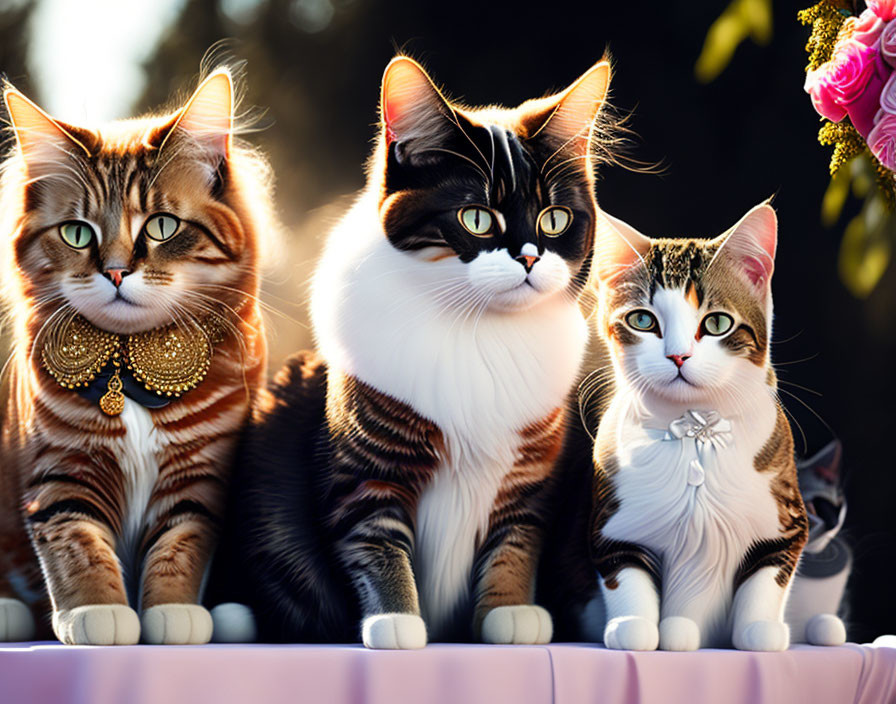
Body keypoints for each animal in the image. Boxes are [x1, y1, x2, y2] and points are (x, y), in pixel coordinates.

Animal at [0, 69, 272, 648]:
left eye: (162, 226)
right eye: (77, 232)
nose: (117, 271)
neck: (127, 366)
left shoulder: (201, 478)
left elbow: (179, 547)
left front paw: (173, 612)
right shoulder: (61, 474)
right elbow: (78, 545)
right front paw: (97, 612)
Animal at [212, 57, 608, 648]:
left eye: (555, 219)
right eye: (476, 218)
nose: (530, 258)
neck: (479, 332)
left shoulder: (530, 478)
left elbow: (515, 542)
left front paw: (510, 613)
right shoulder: (369, 471)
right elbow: (375, 542)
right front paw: (396, 620)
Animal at [580, 202, 812, 648]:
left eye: (718, 323)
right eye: (642, 320)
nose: (678, 356)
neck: (694, 429)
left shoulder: (786, 517)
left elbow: (766, 576)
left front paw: (758, 630)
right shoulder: (613, 517)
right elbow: (625, 571)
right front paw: (634, 626)